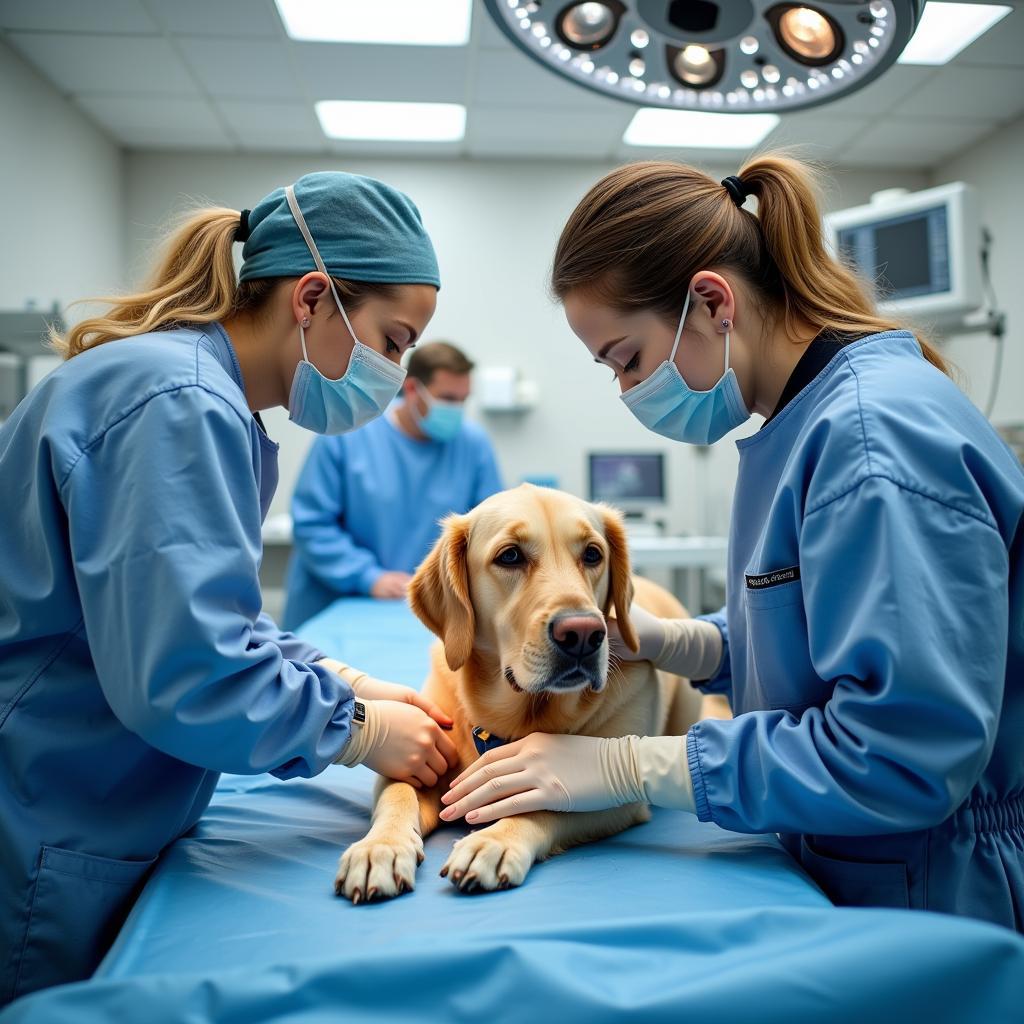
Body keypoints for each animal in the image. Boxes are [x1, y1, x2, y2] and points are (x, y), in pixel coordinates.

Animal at [335, 483, 704, 901]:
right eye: (510, 556)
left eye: (593, 554)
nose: (583, 634)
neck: (520, 713)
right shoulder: (421, 760)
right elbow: (399, 794)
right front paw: (379, 848)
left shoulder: (620, 799)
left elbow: (550, 800)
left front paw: (493, 841)